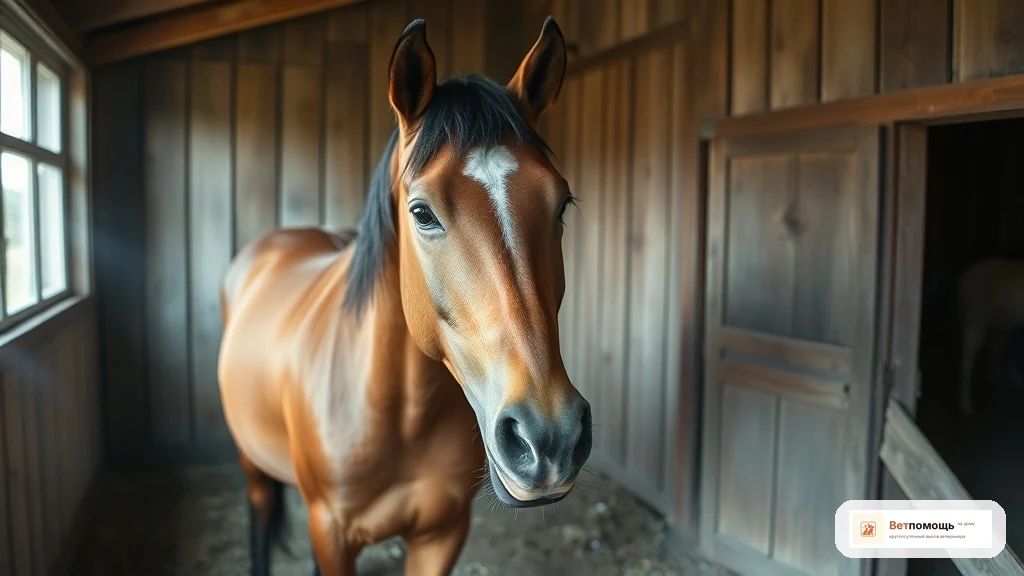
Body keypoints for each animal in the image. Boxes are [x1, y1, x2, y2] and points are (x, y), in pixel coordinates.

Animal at [216, 16, 591, 576]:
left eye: (562, 204)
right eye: (422, 212)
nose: (550, 437)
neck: (399, 415)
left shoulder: (442, 533)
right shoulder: (331, 532)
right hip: (252, 462)